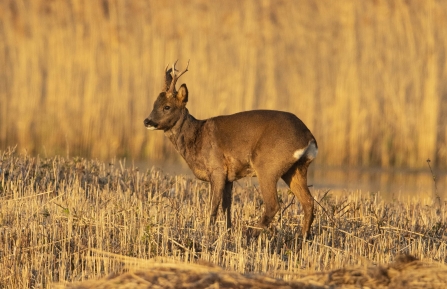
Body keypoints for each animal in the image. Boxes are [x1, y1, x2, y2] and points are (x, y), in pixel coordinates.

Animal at [144, 59, 318, 237]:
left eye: (167, 107)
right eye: (154, 104)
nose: (147, 121)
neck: (197, 138)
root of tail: (308, 137)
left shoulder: (217, 170)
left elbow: (213, 206)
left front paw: (208, 233)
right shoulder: (229, 177)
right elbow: (226, 207)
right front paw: (227, 233)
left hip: (267, 165)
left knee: (273, 205)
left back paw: (250, 234)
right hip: (296, 168)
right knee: (308, 202)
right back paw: (302, 238)